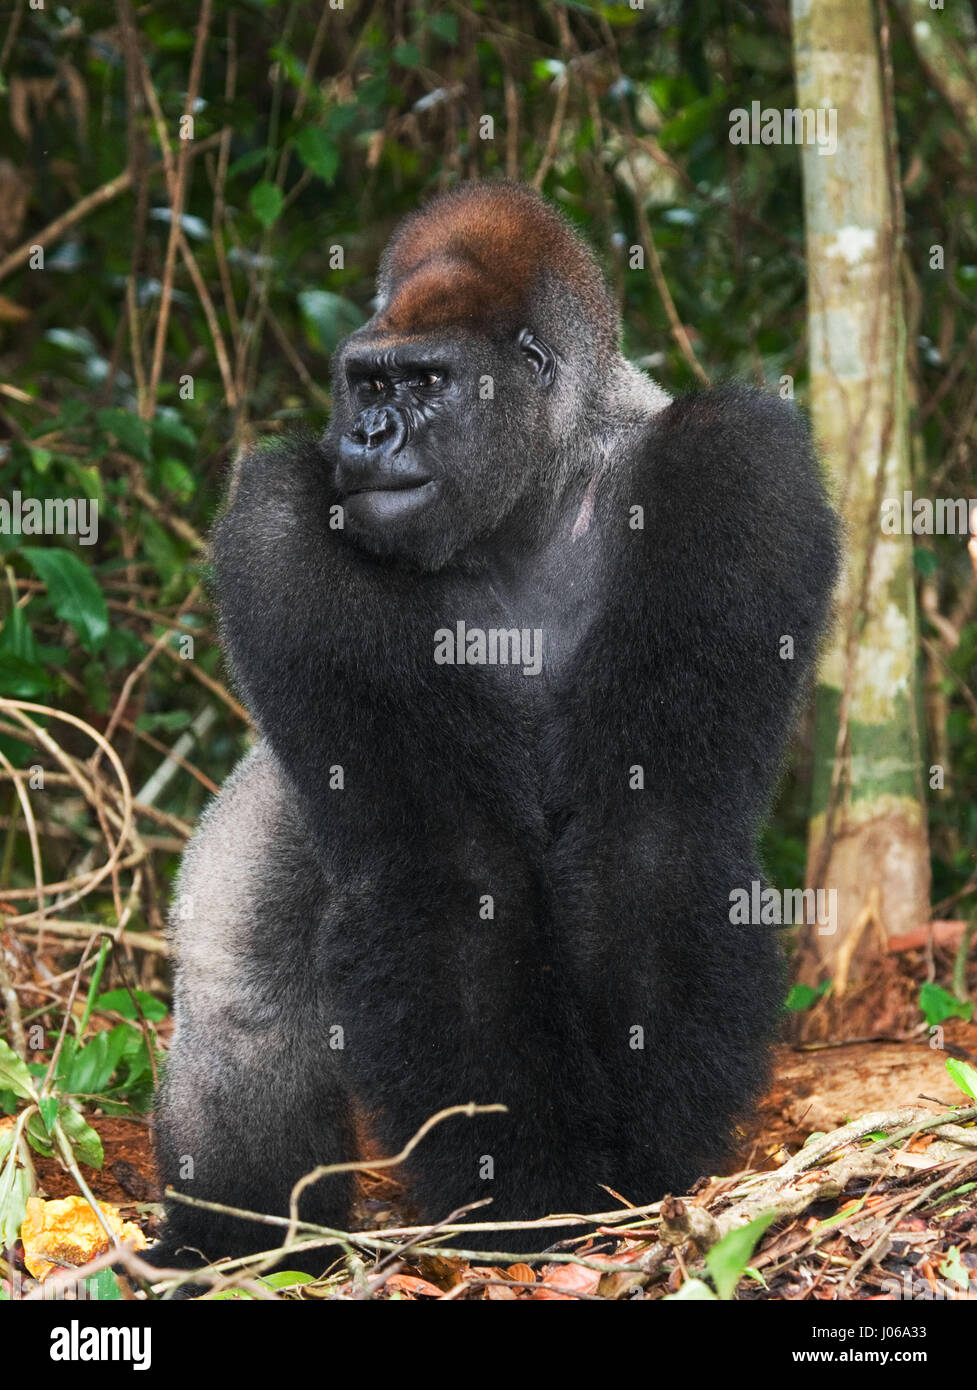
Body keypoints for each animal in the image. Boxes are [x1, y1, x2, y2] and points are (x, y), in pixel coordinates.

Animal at [147, 181, 839, 1273]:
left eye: (426, 382)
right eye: (365, 383)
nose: (366, 440)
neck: (536, 492)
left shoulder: (734, 461)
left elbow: (654, 838)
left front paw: (637, 1169)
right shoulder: (281, 519)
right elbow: (448, 864)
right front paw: (525, 1194)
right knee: (242, 997)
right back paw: (236, 1249)